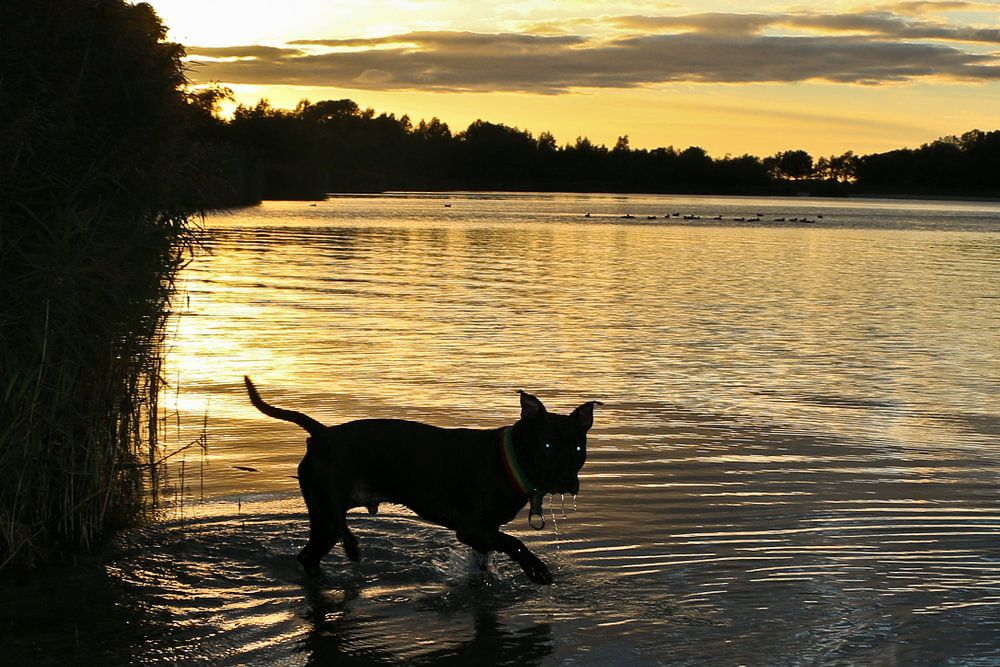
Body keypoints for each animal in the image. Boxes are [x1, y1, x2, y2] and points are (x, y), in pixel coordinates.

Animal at [244, 376, 600, 584]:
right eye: (548, 446)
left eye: (578, 448)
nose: (568, 480)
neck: (509, 460)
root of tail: (321, 434)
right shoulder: (471, 527)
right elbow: (516, 543)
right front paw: (535, 568)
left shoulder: (484, 533)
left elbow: (490, 554)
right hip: (328, 513)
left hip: (323, 518)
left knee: (311, 553)